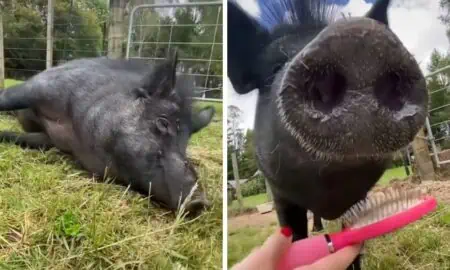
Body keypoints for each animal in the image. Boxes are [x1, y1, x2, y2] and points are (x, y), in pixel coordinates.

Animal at [0, 51, 216, 218]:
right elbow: (7, 98)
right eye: (163, 123)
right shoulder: (42, 87)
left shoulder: (50, 139)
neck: (75, 133)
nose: (202, 201)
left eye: (185, 143)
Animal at [229, 0, 428, 268]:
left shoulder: (360, 198)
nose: (356, 36)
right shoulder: (280, 195)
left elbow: (354, 233)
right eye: (273, 68)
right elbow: (294, 234)